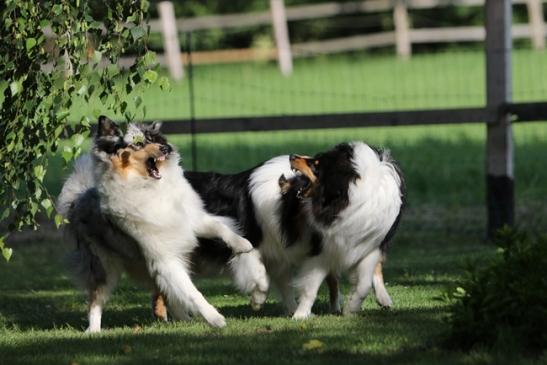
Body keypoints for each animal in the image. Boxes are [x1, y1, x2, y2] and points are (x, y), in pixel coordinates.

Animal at [57, 116, 268, 330]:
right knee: (96, 299)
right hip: (104, 265)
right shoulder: (165, 259)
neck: (152, 187)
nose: (165, 149)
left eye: (152, 138)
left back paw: (184, 319)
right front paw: (215, 318)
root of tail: (78, 198)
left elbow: (220, 228)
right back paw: (94, 330)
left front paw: (242, 244)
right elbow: (192, 292)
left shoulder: (191, 218)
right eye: (138, 143)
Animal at [284, 142, 404, 318]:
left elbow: (364, 284)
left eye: (316, 164)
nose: (291, 156)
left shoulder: (370, 246)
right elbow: (311, 286)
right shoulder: (324, 246)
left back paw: (384, 299)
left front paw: (351, 308)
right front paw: (300, 315)